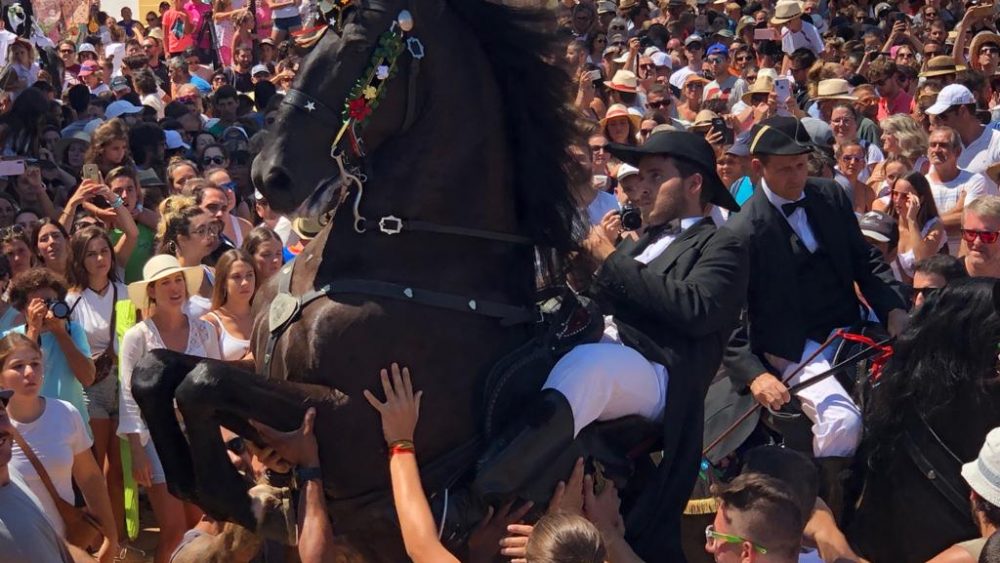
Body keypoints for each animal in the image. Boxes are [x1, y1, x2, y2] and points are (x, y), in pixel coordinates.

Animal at [134, 2, 584, 560]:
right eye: (313, 38)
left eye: (361, 43)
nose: (269, 175)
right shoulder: (265, 375)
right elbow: (156, 370)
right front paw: (194, 479)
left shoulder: (354, 429)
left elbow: (201, 382)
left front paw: (227, 495)